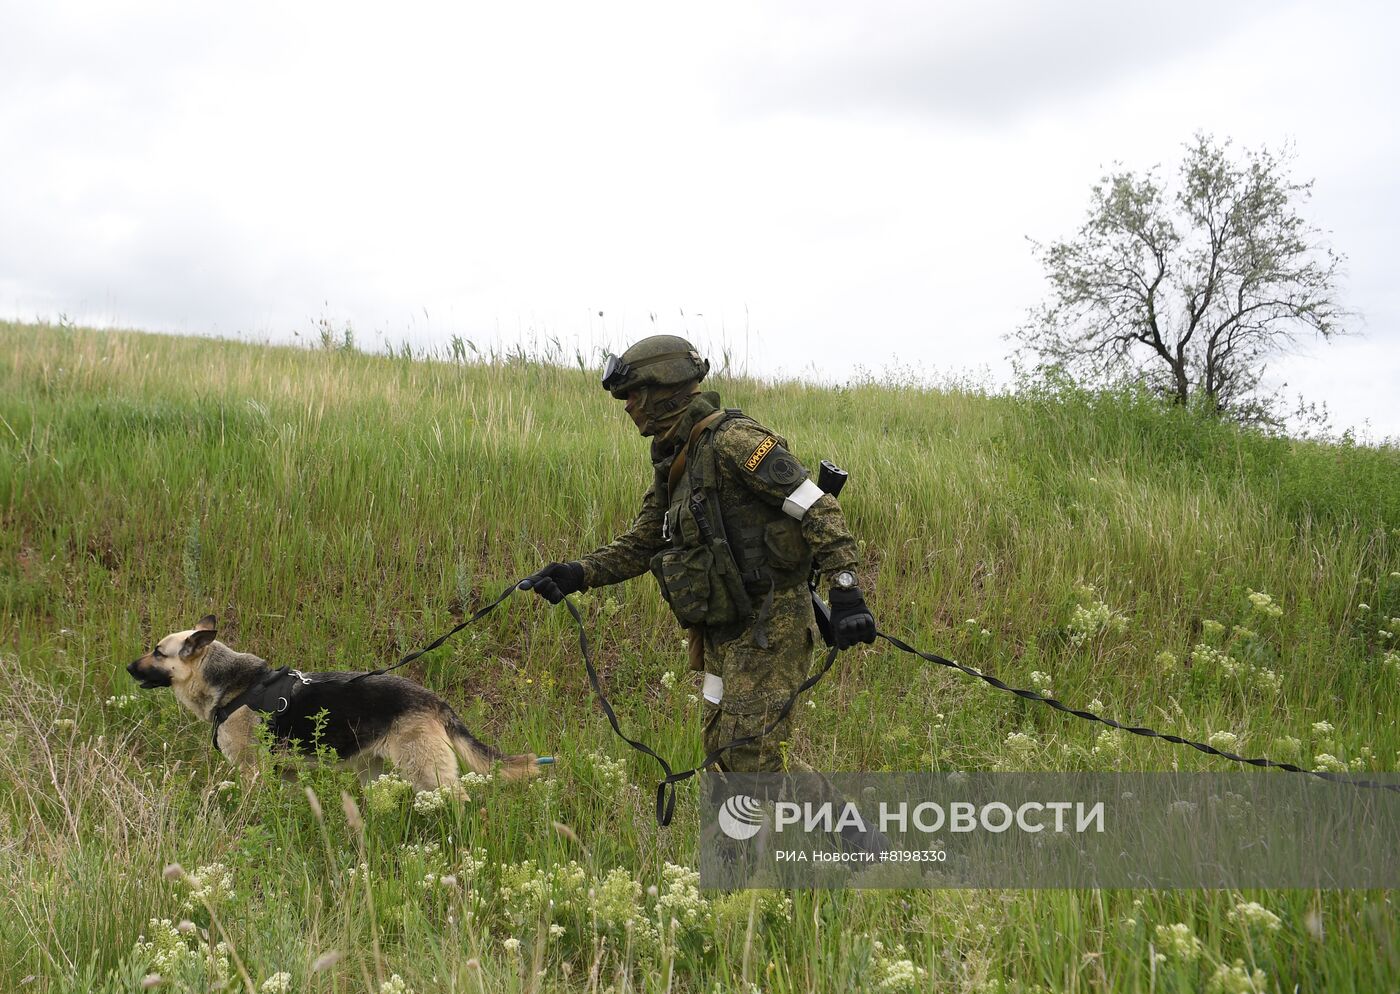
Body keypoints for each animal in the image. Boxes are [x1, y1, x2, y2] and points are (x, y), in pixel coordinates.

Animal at [126, 618, 540, 789]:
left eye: (157, 652)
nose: (127, 667)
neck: (233, 685)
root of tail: (434, 699)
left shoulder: (251, 771)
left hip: (425, 774)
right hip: (373, 772)